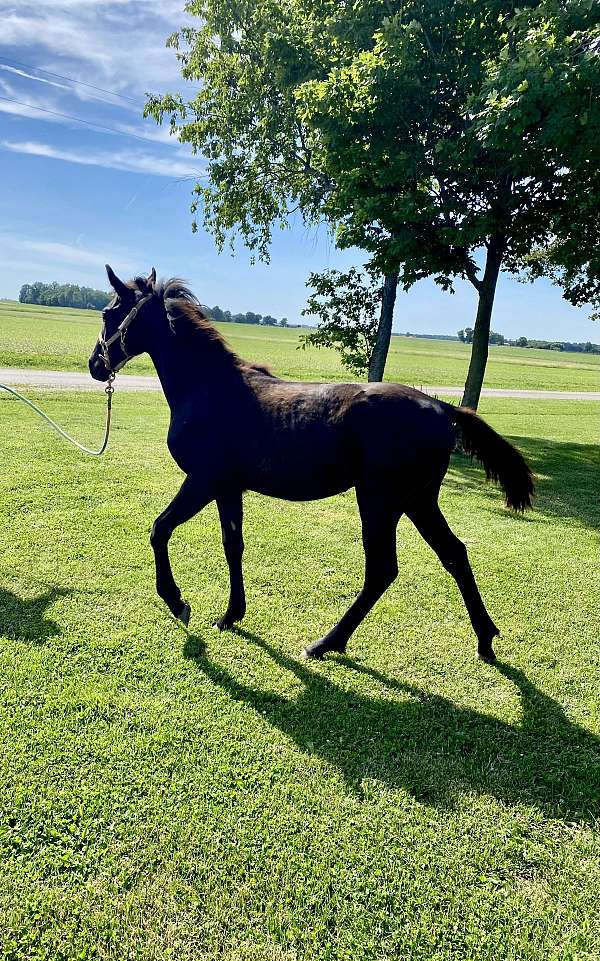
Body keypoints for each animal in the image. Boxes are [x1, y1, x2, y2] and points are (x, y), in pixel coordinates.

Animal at [88, 265, 534, 663]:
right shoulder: (228, 487)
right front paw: (231, 615)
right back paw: (485, 640)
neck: (210, 388)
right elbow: (233, 545)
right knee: (454, 554)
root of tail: (442, 407)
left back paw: (326, 643)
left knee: (382, 569)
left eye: (109, 313)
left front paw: (177, 601)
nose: (95, 365)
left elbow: (159, 529)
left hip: (380, 502)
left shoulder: (202, 481)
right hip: (419, 501)